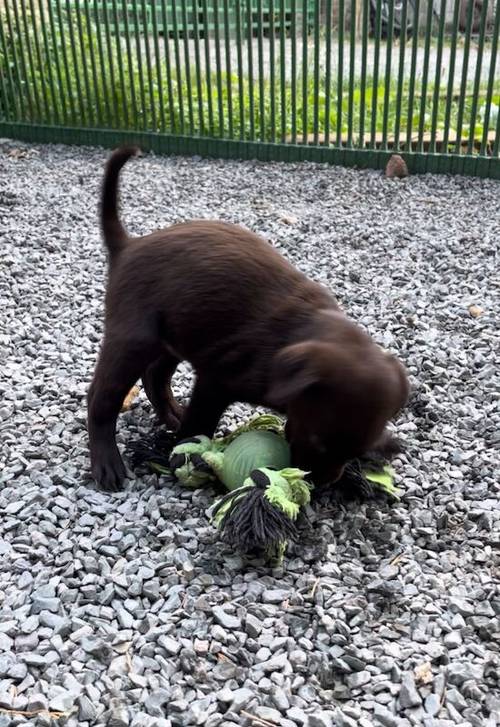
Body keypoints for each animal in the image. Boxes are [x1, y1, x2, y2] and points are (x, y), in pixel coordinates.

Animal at [88, 147, 408, 490]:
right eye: (318, 441)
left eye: (355, 451)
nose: (320, 484)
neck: (298, 334)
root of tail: (128, 246)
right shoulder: (215, 381)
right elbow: (199, 424)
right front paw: (185, 456)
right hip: (134, 338)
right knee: (102, 397)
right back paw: (107, 462)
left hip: (177, 333)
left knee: (154, 375)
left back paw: (171, 413)